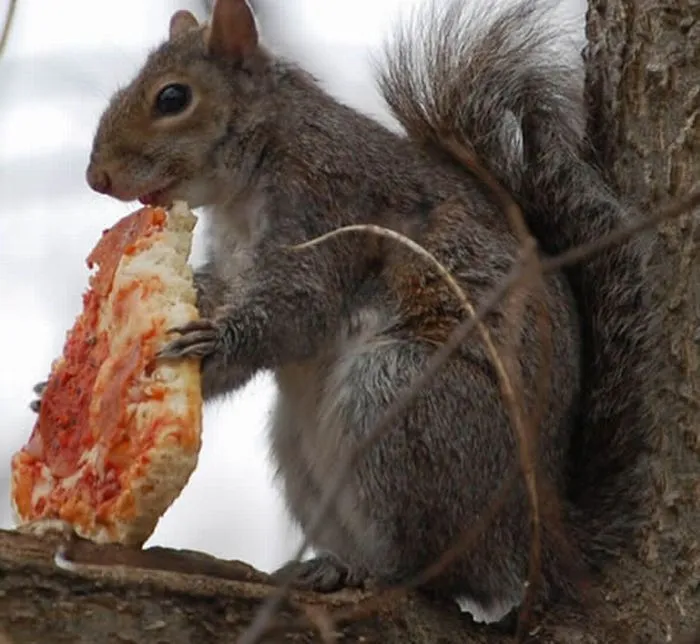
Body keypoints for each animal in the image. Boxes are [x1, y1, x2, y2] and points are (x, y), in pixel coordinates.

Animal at [72, 0, 656, 620]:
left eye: (172, 98)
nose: (97, 177)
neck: (260, 160)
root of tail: (534, 532)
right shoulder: (233, 260)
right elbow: (220, 291)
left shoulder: (327, 211)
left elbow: (295, 313)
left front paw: (208, 347)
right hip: (303, 450)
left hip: (404, 403)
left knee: (436, 571)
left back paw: (369, 570)